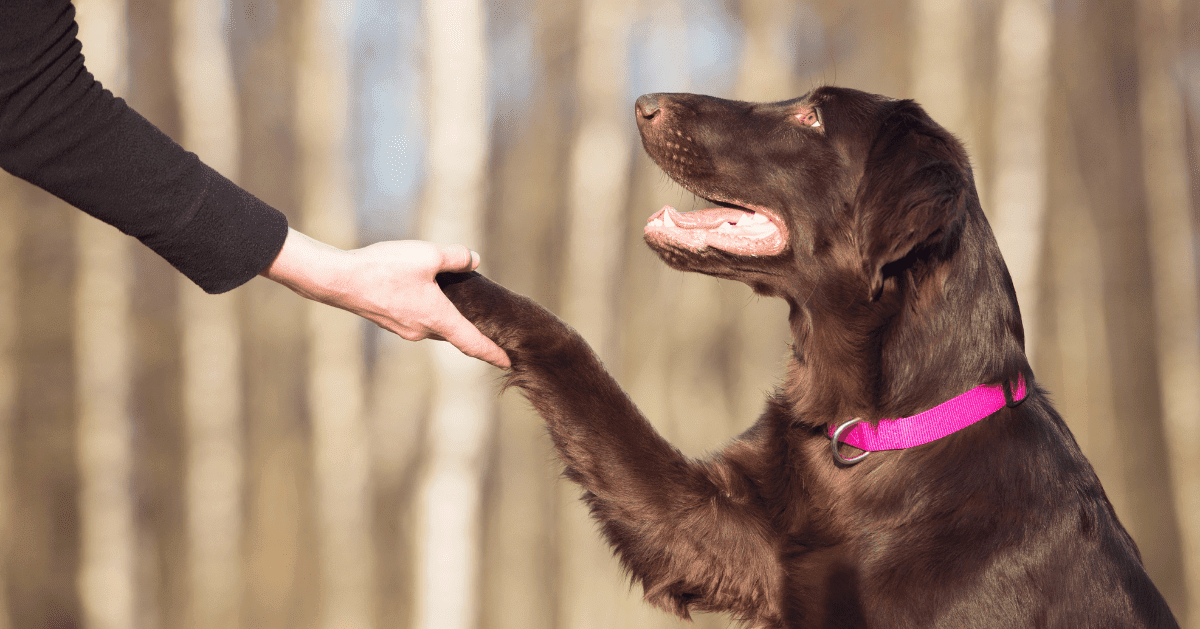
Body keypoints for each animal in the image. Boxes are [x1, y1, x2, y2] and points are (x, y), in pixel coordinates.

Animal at [436, 88, 1176, 629]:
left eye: (811, 116)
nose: (644, 103)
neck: (872, 431)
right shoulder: (713, 531)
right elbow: (573, 357)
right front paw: (450, 280)